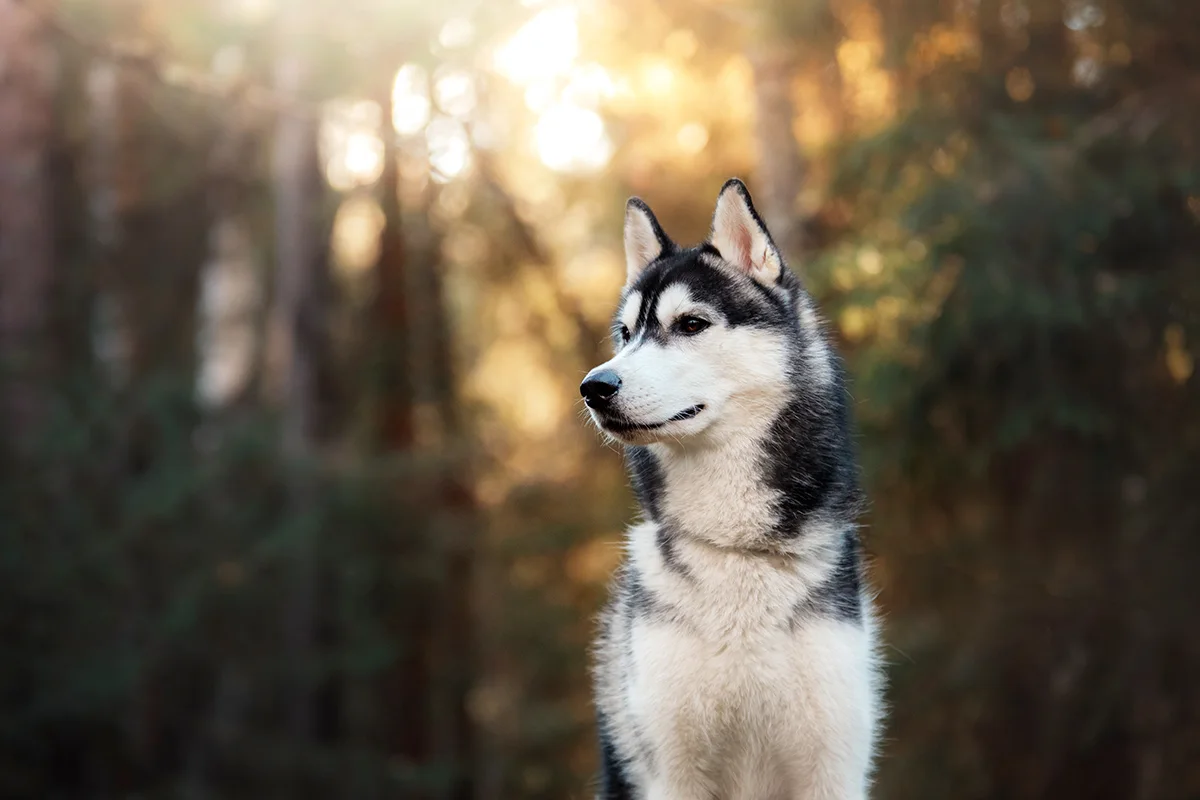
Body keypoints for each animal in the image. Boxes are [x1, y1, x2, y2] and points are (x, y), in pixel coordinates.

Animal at [580, 178, 883, 796]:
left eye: (691, 324)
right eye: (625, 334)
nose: (594, 386)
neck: (737, 549)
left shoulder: (832, 765)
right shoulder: (673, 770)